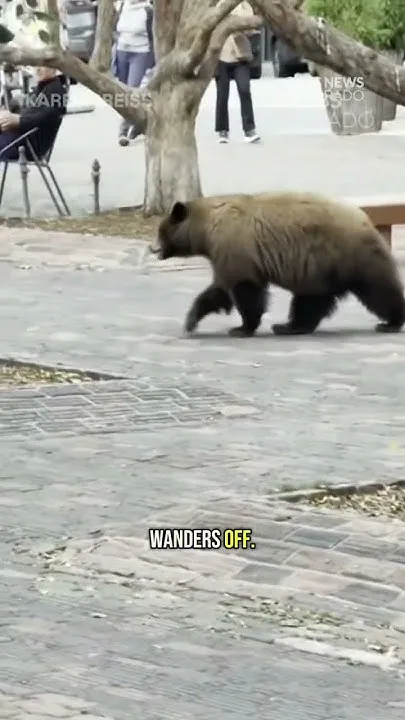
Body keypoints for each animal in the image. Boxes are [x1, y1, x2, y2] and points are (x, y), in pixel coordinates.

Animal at [150, 191, 405, 337]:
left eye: (161, 232)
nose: (154, 249)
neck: (207, 225)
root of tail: (366, 219)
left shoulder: (234, 245)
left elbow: (244, 289)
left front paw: (242, 328)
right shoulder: (226, 252)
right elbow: (219, 289)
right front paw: (191, 320)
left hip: (347, 254)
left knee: (378, 289)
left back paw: (391, 322)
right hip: (317, 268)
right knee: (311, 300)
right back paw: (290, 326)